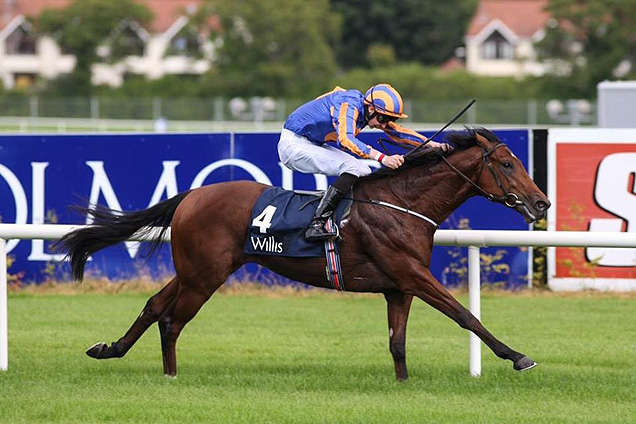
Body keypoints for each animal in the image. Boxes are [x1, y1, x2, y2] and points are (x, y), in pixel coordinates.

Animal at [57, 127, 548, 380]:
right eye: (507, 164)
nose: (541, 202)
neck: (401, 202)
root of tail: (192, 196)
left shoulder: (398, 286)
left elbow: (398, 342)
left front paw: (404, 385)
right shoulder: (412, 274)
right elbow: (466, 315)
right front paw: (518, 356)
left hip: (197, 268)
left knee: (154, 304)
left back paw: (110, 349)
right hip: (205, 275)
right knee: (172, 320)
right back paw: (171, 375)